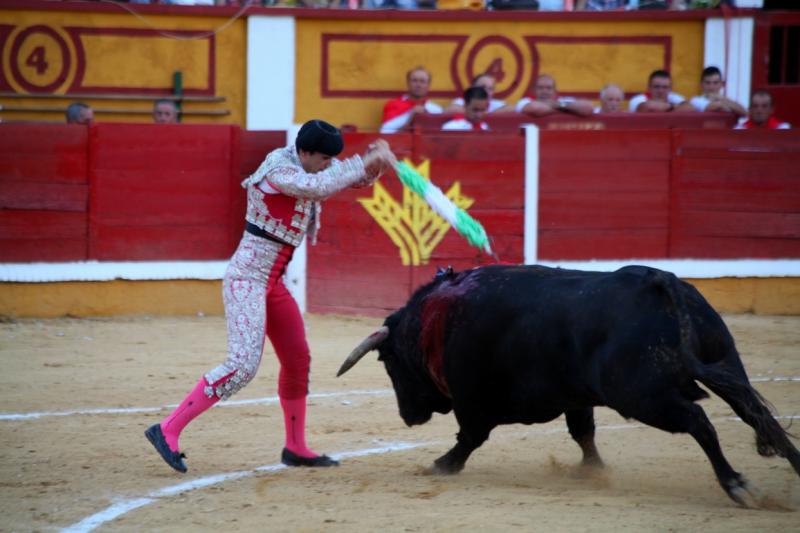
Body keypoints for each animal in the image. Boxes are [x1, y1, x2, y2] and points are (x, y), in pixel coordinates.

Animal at [340, 264, 800, 504]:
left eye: (388, 362)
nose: (408, 417)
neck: (436, 318)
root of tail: (658, 281)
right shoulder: (577, 396)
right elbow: (583, 432)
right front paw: (592, 470)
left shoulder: (475, 401)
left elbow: (470, 437)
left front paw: (441, 465)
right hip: (726, 363)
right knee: (756, 414)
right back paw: (793, 467)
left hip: (642, 396)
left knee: (701, 423)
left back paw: (736, 484)